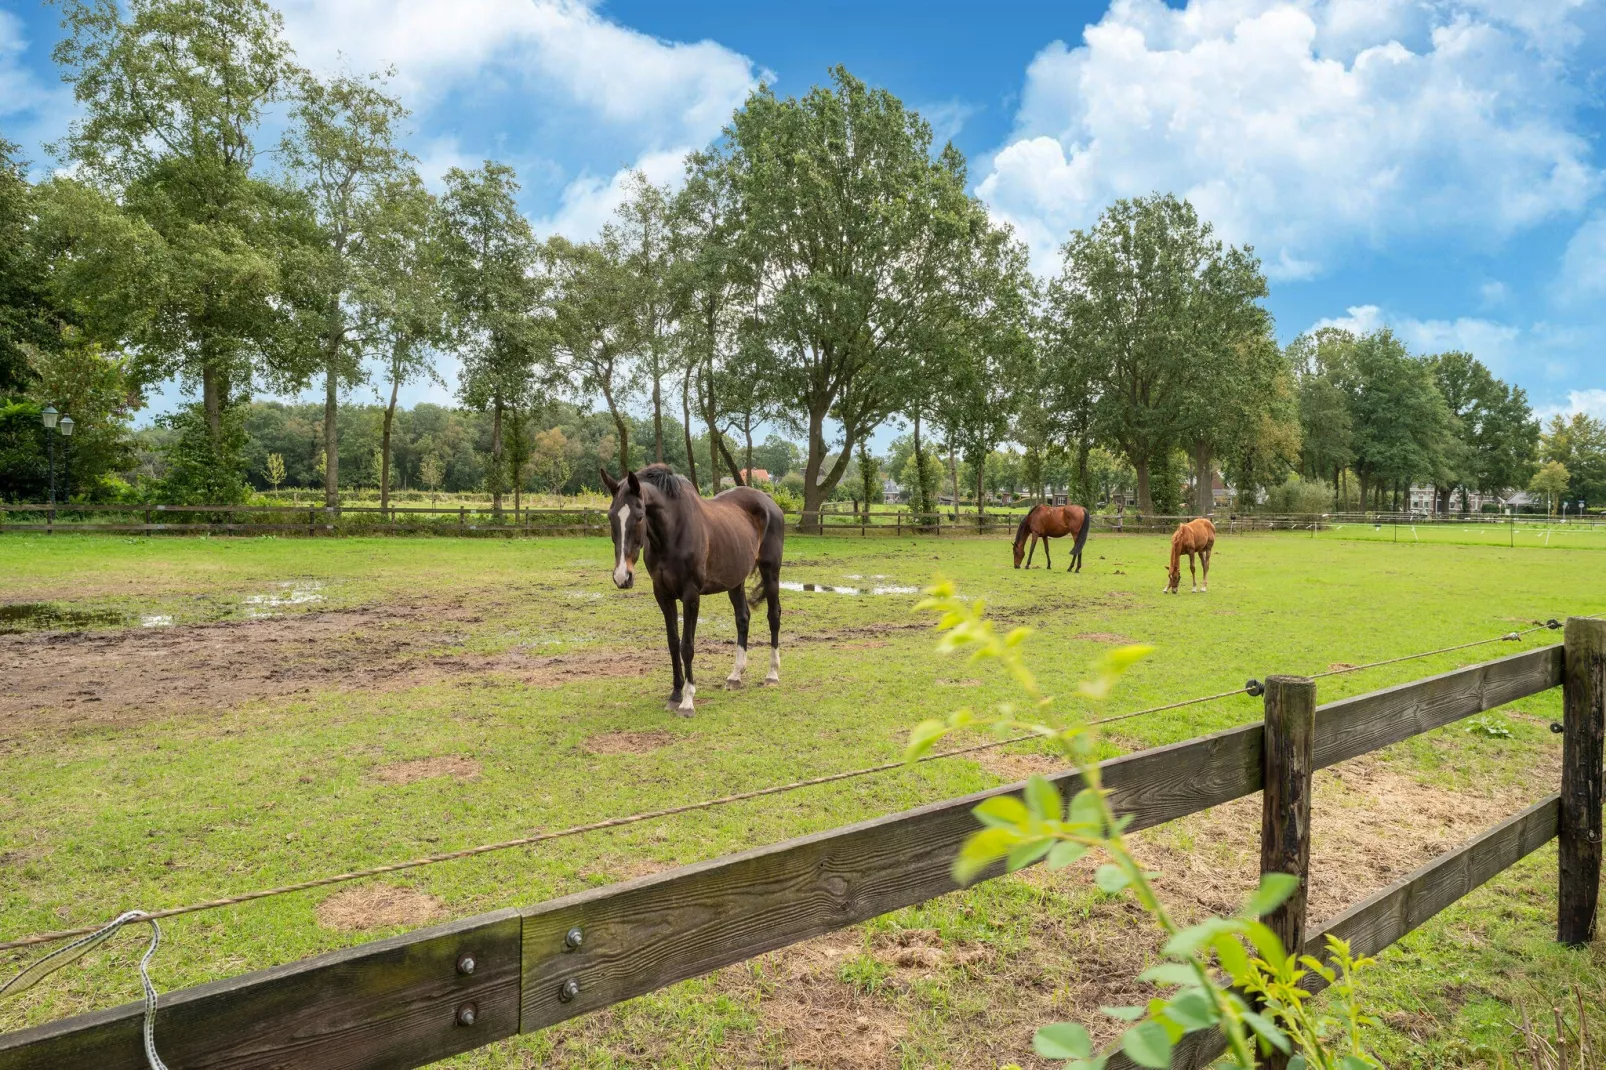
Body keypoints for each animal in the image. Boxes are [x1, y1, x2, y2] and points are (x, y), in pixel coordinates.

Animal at [603, 462, 783, 713]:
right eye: (611, 516)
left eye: (639, 517)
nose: (622, 576)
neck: (672, 534)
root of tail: (769, 502)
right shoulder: (663, 595)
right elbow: (672, 643)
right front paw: (675, 694)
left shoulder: (691, 595)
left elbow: (686, 646)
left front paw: (687, 701)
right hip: (735, 580)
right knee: (742, 619)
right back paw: (735, 676)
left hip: (771, 572)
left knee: (773, 616)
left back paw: (772, 674)